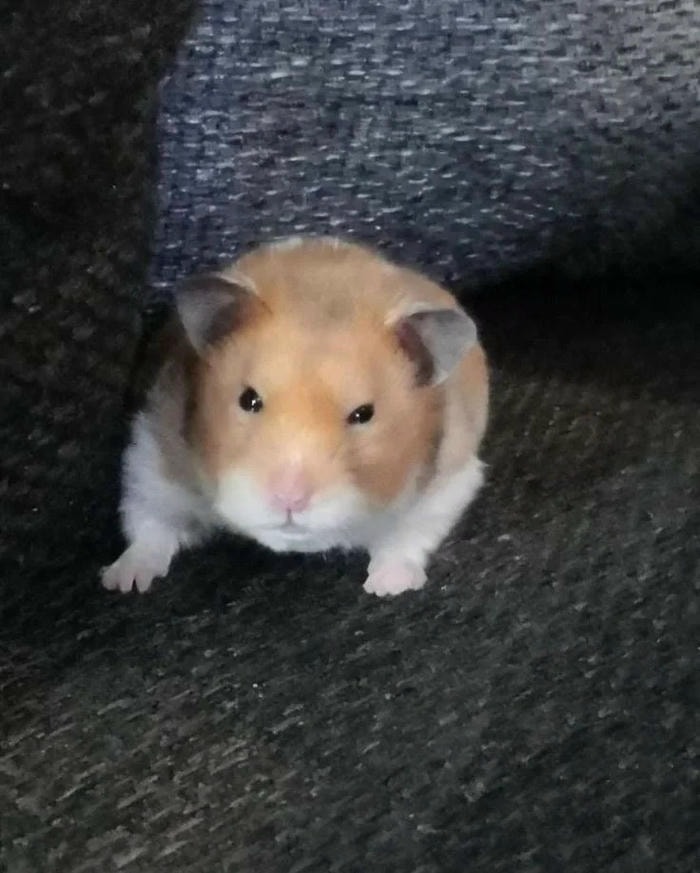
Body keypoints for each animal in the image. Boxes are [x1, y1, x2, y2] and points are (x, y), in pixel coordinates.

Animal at [101, 236, 489, 597]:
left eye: (364, 414)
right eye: (248, 399)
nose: (289, 500)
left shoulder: (448, 480)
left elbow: (409, 535)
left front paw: (387, 587)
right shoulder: (153, 454)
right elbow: (150, 520)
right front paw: (123, 582)